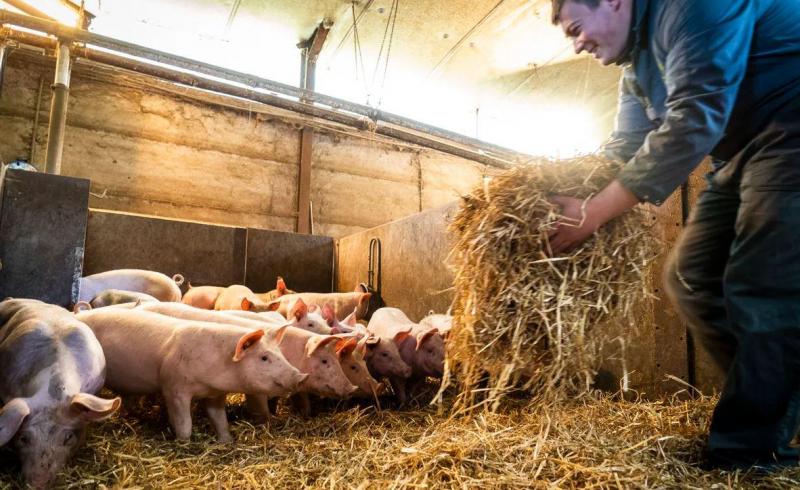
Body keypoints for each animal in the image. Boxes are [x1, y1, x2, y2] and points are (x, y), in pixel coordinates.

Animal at [75, 308, 305, 442]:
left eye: (280, 353)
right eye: (264, 357)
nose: (301, 376)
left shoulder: (215, 394)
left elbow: (219, 419)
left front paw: (227, 441)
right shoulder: (174, 387)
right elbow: (184, 423)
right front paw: (183, 443)